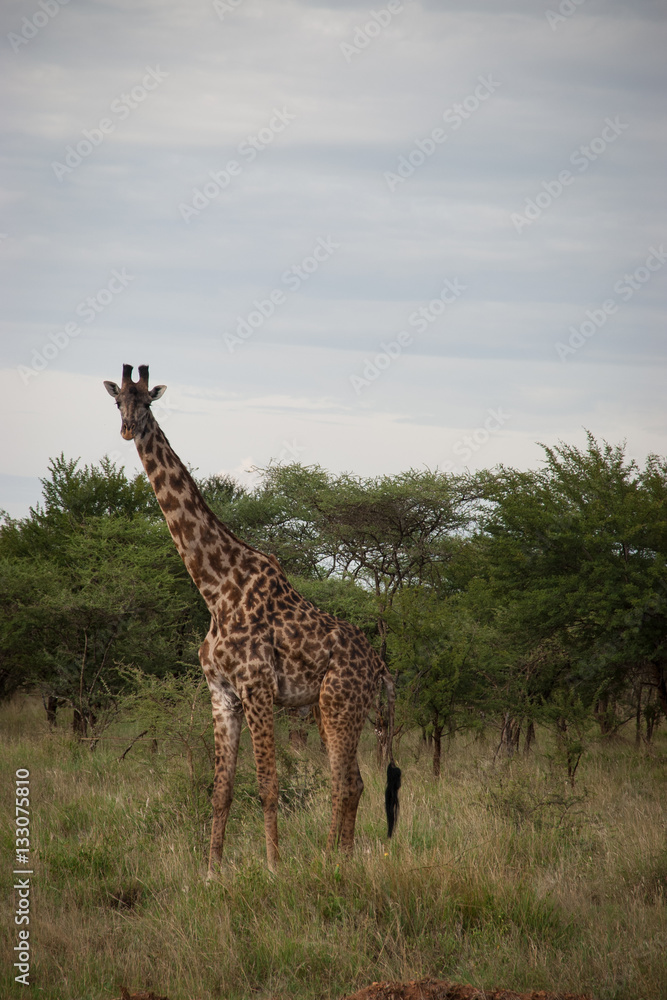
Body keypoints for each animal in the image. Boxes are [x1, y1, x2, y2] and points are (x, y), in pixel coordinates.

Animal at [104, 364, 400, 872]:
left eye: (147, 402)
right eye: (117, 401)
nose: (127, 429)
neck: (215, 587)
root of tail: (379, 667)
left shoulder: (257, 686)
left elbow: (267, 785)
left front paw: (273, 866)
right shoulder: (222, 693)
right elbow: (220, 790)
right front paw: (211, 870)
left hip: (340, 703)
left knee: (345, 781)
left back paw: (331, 860)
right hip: (328, 707)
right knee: (355, 781)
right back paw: (337, 857)